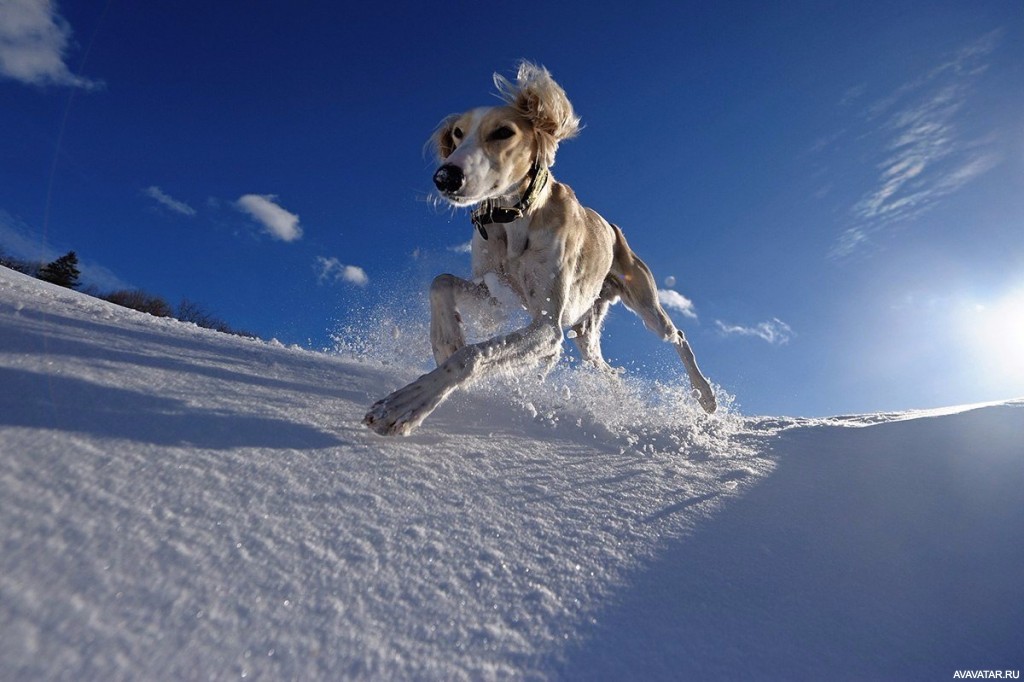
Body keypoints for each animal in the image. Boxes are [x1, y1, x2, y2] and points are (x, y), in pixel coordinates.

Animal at [364, 63, 716, 436]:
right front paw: (447, 340)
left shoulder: (547, 326)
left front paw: (403, 405)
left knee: (678, 335)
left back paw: (705, 395)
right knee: (605, 367)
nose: (445, 177)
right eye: (457, 133)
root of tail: (613, 229)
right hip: (585, 335)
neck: (517, 217)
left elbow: (473, 355)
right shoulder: (498, 297)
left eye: (504, 132)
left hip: (645, 305)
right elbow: (440, 282)